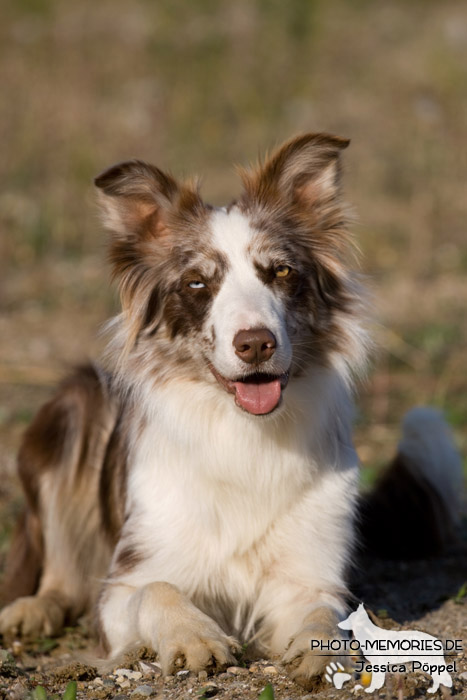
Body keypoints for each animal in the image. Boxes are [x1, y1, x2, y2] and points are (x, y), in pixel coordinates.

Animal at [0, 135, 460, 688]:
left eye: (281, 271)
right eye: (198, 283)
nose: (256, 343)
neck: (245, 433)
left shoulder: (309, 573)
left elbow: (322, 614)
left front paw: (320, 653)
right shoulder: (122, 582)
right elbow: (156, 589)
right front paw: (194, 638)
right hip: (72, 406)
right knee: (59, 575)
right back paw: (32, 609)